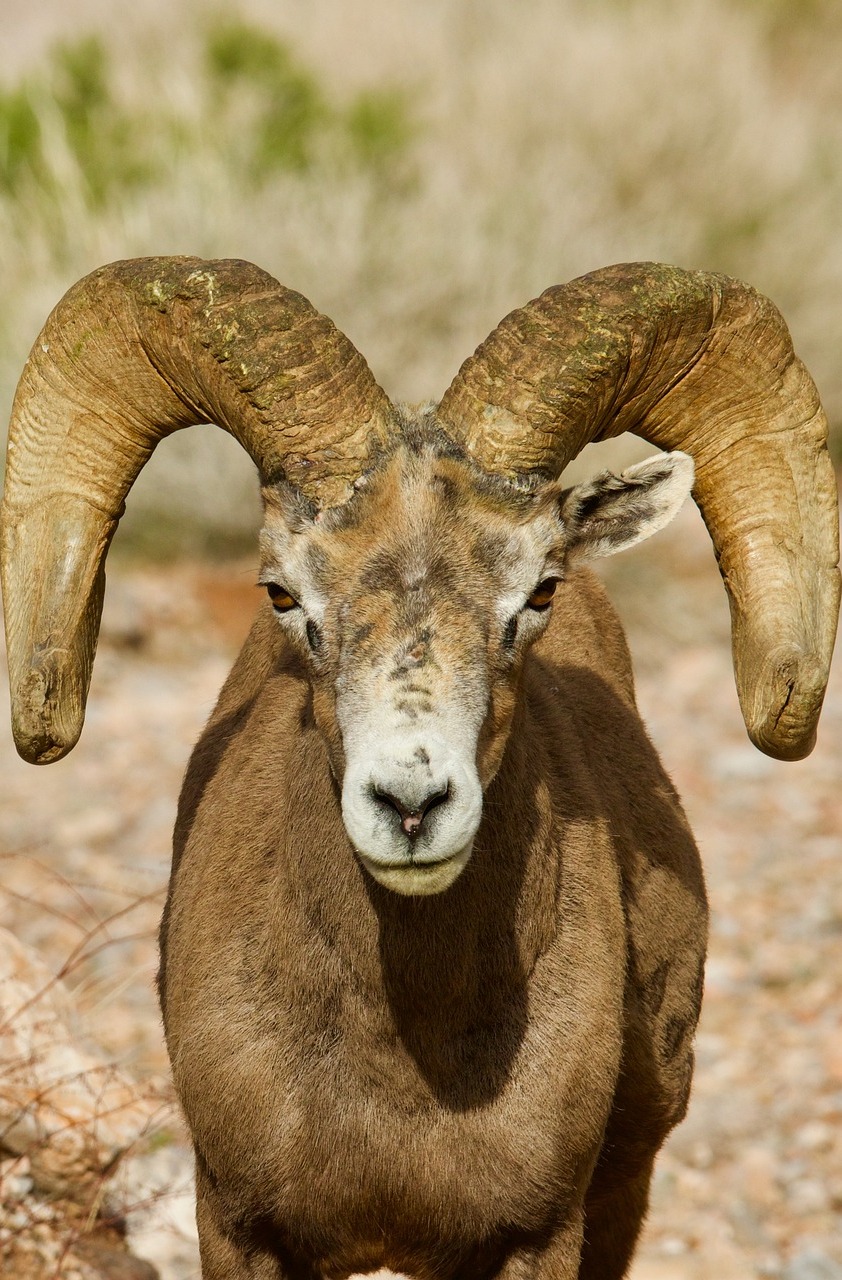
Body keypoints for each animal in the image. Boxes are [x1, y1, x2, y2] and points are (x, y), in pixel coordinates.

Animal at [0, 254, 834, 1274]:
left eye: (540, 591)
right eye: (281, 592)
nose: (410, 803)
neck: (399, 1058)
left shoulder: (540, 1236)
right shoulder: (237, 1227)